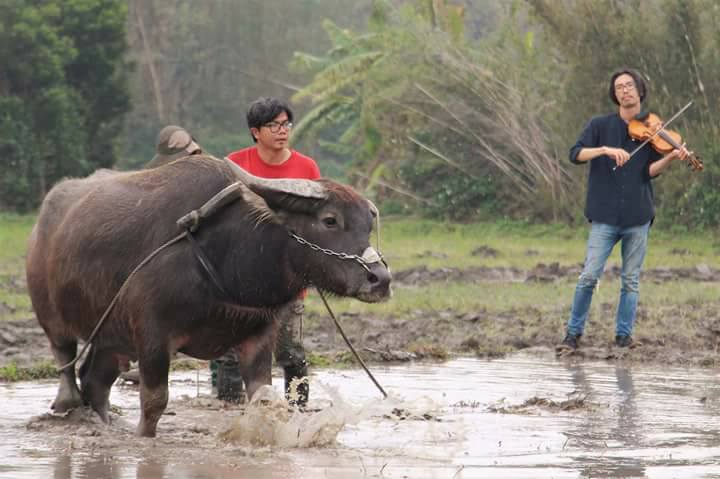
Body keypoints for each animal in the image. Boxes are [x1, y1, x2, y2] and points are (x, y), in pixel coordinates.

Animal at [25, 155, 390, 438]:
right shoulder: (152, 337)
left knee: (95, 382)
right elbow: (154, 401)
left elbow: (264, 399)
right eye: (330, 220)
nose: (380, 279)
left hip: (111, 335)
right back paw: (67, 402)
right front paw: (143, 439)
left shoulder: (259, 335)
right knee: (66, 360)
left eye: (367, 225)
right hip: (50, 315)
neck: (229, 254)